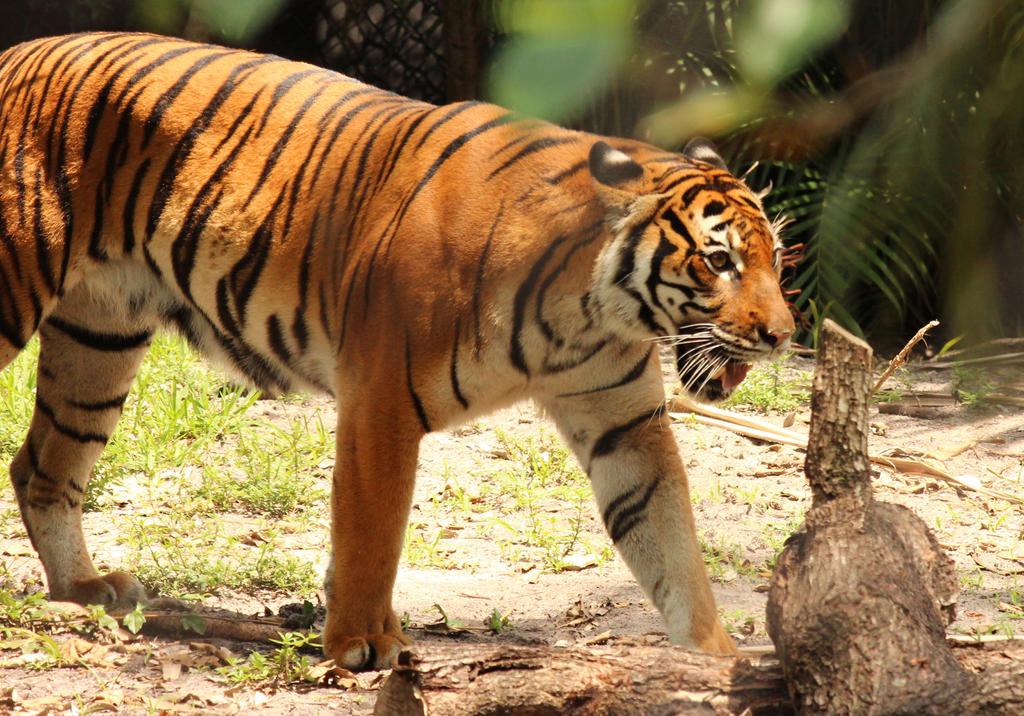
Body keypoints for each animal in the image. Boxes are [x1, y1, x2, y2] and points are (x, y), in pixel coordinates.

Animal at [0, 32, 794, 670]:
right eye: (720, 262)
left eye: (775, 259)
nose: (782, 335)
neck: (588, 312)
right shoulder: (381, 402)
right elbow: (371, 532)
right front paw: (362, 643)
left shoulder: (624, 423)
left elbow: (669, 539)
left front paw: (715, 659)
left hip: (100, 338)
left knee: (42, 467)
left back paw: (84, 591)